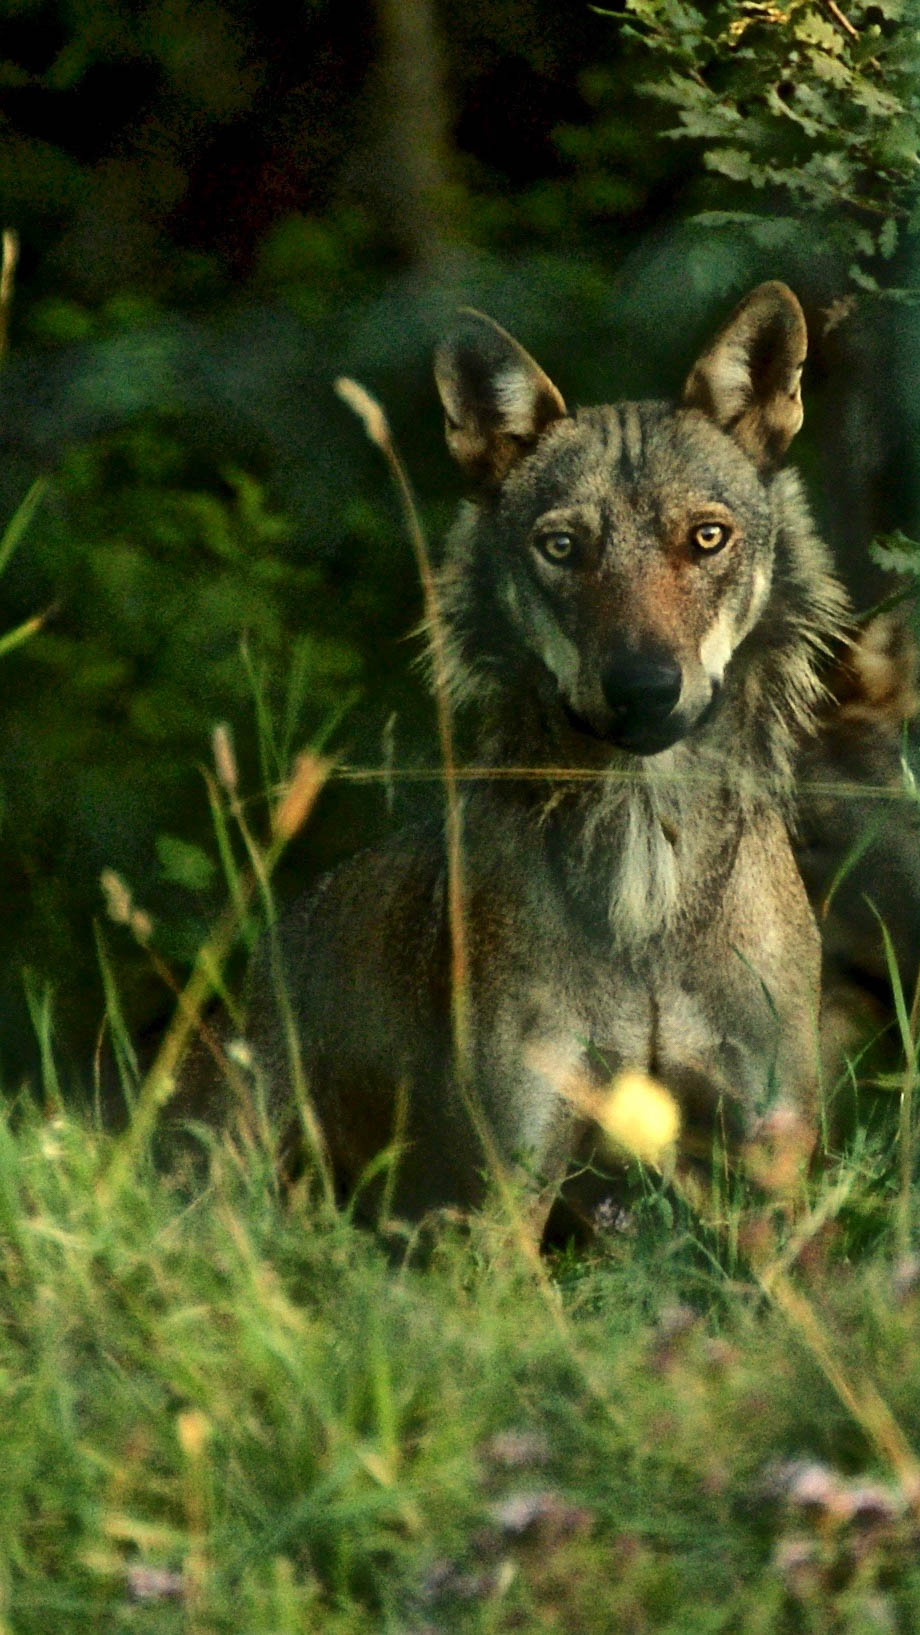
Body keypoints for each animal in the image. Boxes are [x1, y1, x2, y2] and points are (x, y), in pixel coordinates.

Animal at [248, 282, 850, 1229]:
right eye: (563, 547)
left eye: (707, 538)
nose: (644, 687)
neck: (646, 882)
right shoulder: (514, 1177)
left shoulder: (769, 1162)